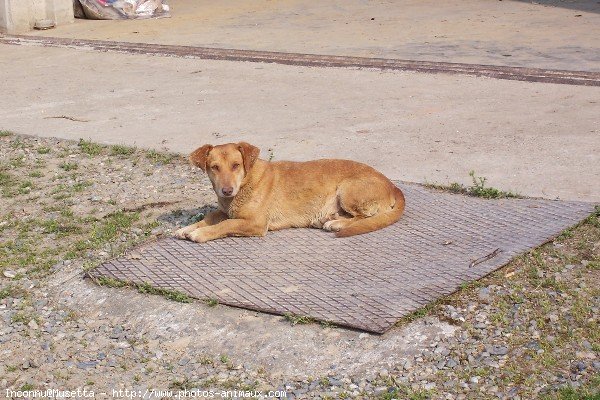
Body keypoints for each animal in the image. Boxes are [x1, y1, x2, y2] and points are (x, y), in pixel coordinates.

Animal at [176, 142, 406, 242]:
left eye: (235, 165)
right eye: (214, 167)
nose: (226, 190)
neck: (245, 183)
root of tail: (393, 186)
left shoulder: (255, 223)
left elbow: (225, 225)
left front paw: (200, 233)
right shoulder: (223, 211)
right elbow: (210, 217)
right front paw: (187, 228)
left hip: (347, 189)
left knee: (365, 216)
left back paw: (337, 223)